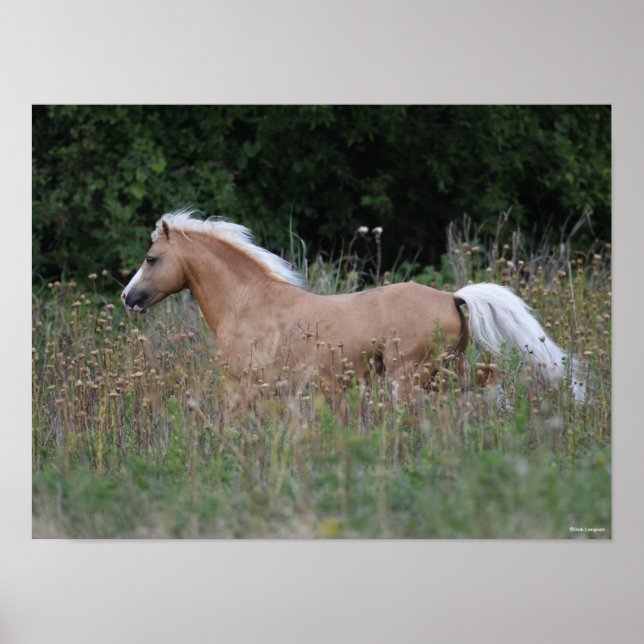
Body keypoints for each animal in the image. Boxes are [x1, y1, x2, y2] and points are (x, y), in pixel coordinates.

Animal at [121, 209, 586, 402]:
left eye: (151, 258)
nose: (128, 298)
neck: (248, 304)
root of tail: (452, 297)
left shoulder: (246, 383)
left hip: (409, 375)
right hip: (448, 369)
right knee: (489, 380)